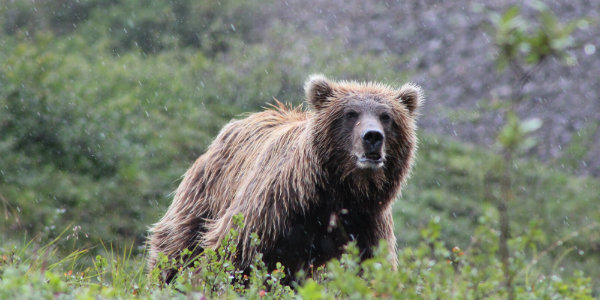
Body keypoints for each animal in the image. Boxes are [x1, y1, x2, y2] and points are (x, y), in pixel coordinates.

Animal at [148, 74, 424, 282]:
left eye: (386, 116)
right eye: (351, 114)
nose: (373, 137)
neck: (336, 193)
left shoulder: (366, 224)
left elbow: (368, 271)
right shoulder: (272, 210)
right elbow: (233, 255)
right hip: (205, 193)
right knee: (177, 245)